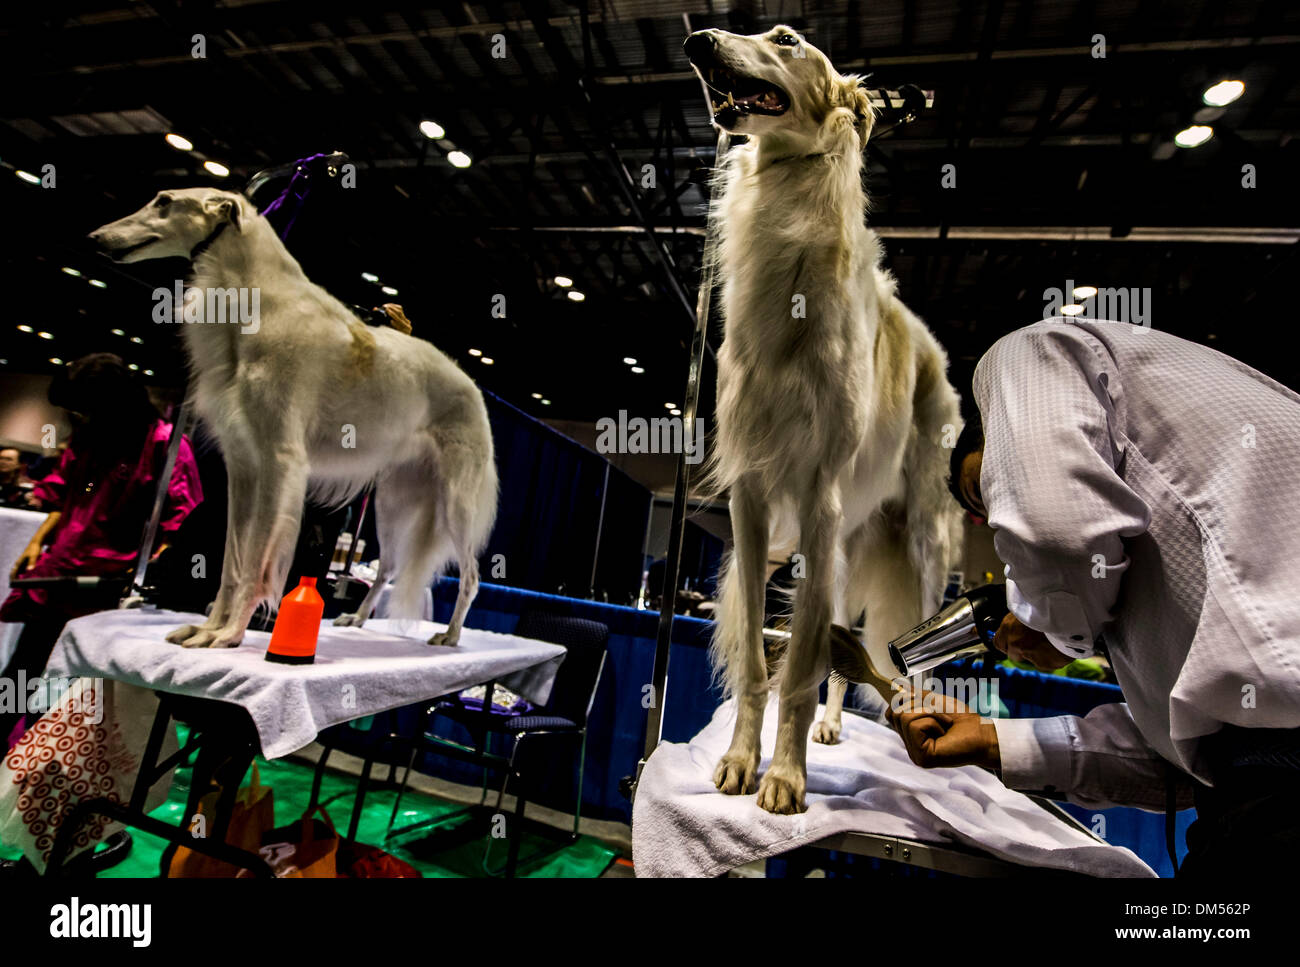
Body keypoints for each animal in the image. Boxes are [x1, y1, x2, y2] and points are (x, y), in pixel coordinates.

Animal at [90, 188, 496, 649]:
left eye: (163, 201)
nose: (95, 237)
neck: (258, 305)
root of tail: (472, 387)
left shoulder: (281, 461)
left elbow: (256, 564)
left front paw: (229, 633)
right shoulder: (243, 468)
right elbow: (231, 563)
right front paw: (208, 627)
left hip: (456, 502)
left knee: (472, 576)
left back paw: (450, 635)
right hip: (392, 502)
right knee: (389, 568)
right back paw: (356, 618)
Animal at [686, 26, 961, 811]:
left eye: (786, 40)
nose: (698, 40)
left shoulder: (819, 499)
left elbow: (803, 667)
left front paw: (783, 776)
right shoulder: (754, 499)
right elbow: (762, 658)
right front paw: (742, 761)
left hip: (918, 547)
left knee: (912, 655)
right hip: (843, 542)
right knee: (846, 651)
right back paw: (833, 724)